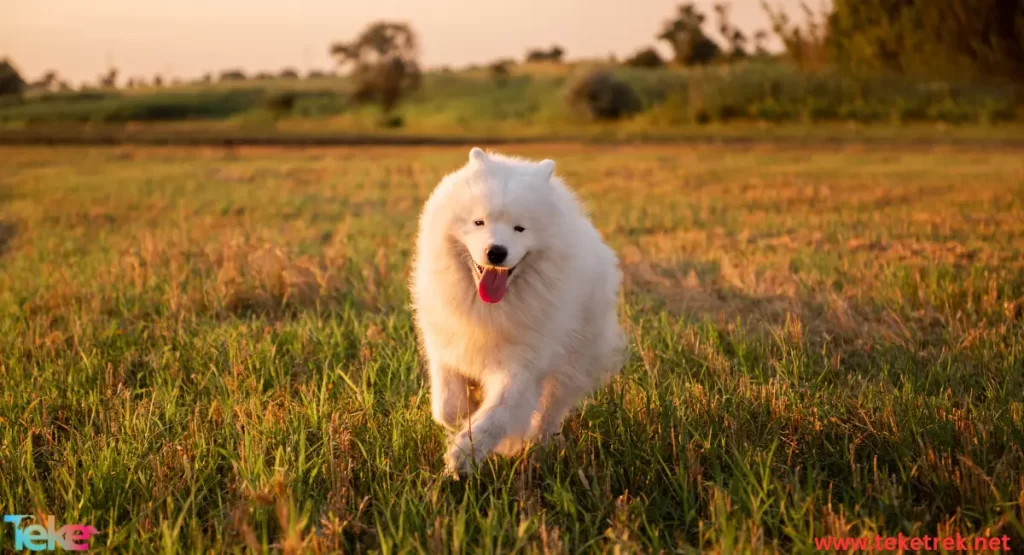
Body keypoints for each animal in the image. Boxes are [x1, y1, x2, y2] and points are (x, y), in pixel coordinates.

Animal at [407, 149, 622, 479]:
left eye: (520, 228)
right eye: (479, 222)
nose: (496, 251)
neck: (490, 307)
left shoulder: (523, 364)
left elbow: (500, 412)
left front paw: (464, 454)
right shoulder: (444, 342)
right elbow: (447, 405)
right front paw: (464, 413)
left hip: (572, 363)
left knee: (549, 412)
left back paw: (536, 446)